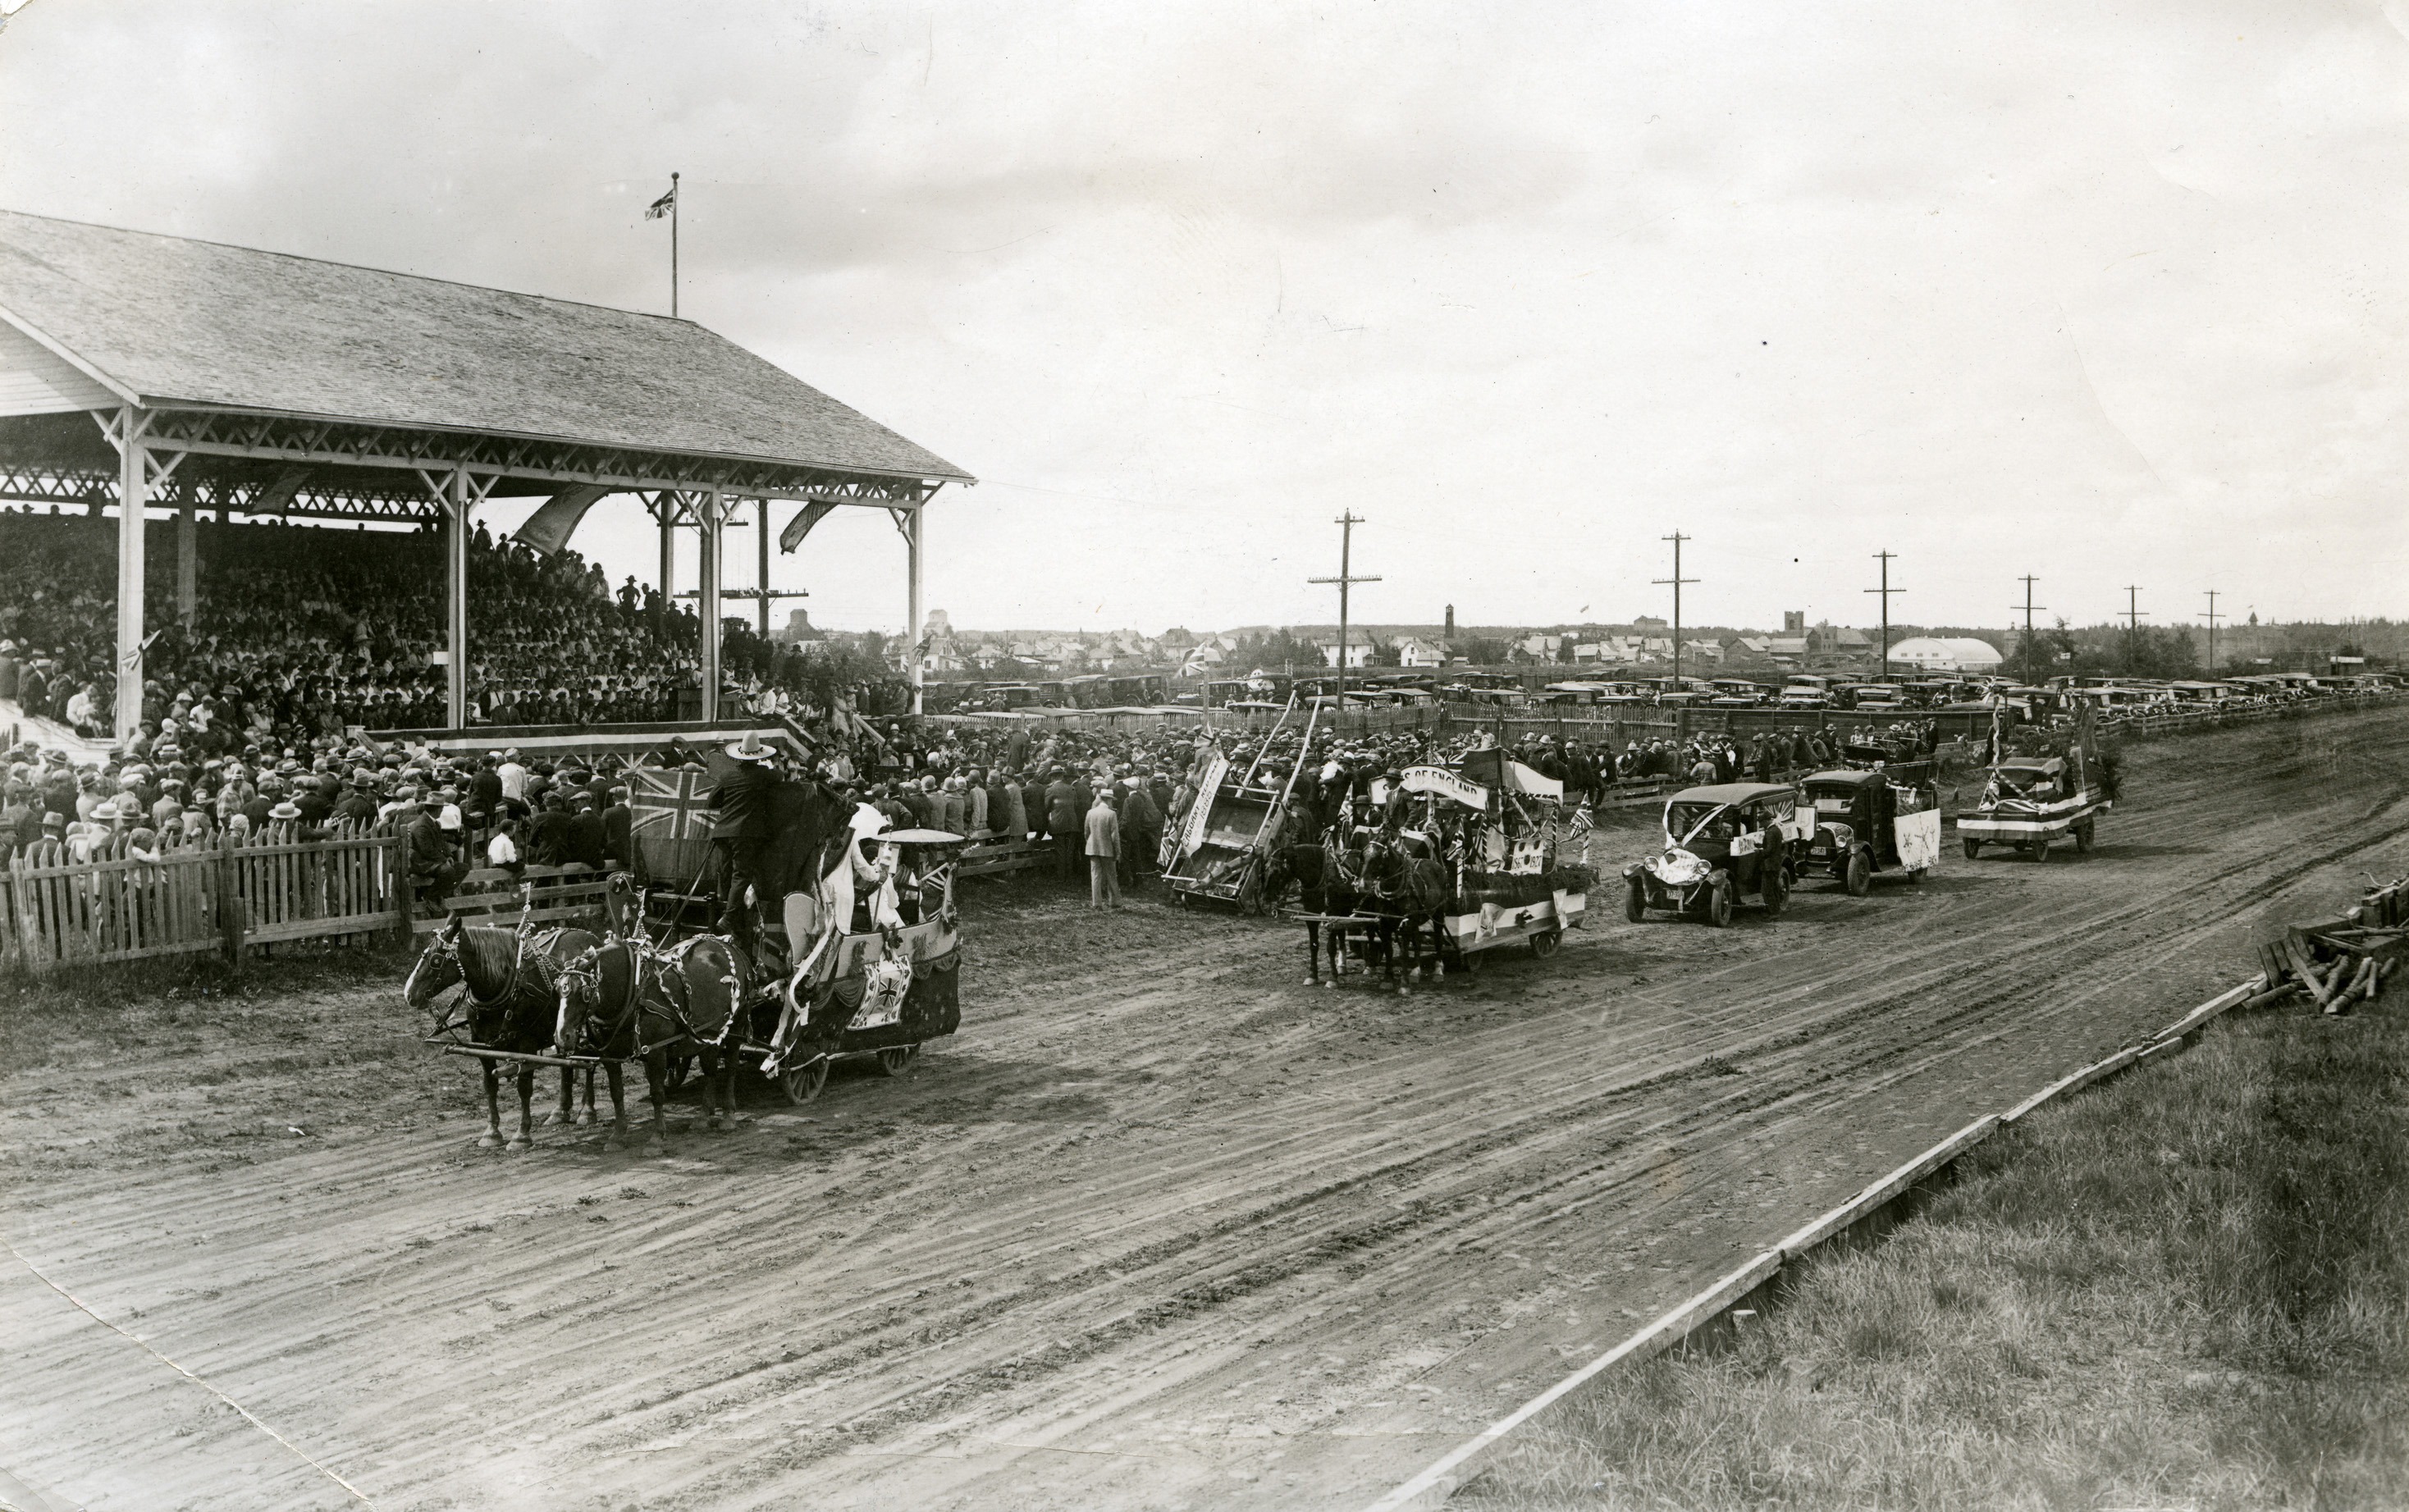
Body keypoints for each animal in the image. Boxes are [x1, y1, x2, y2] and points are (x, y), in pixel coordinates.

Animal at [405, 915, 602, 1150]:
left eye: (435, 959)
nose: (409, 994)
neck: (505, 987)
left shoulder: (526, 1047)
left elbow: (524, 1088)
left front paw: (521, 1135)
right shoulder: (482, 1047)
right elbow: (490, 1086)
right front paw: (492, 1133)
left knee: (590, 1058)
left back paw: (588, 1110)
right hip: (564, 1032)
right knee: (568, 1064)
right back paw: (561, 1111)